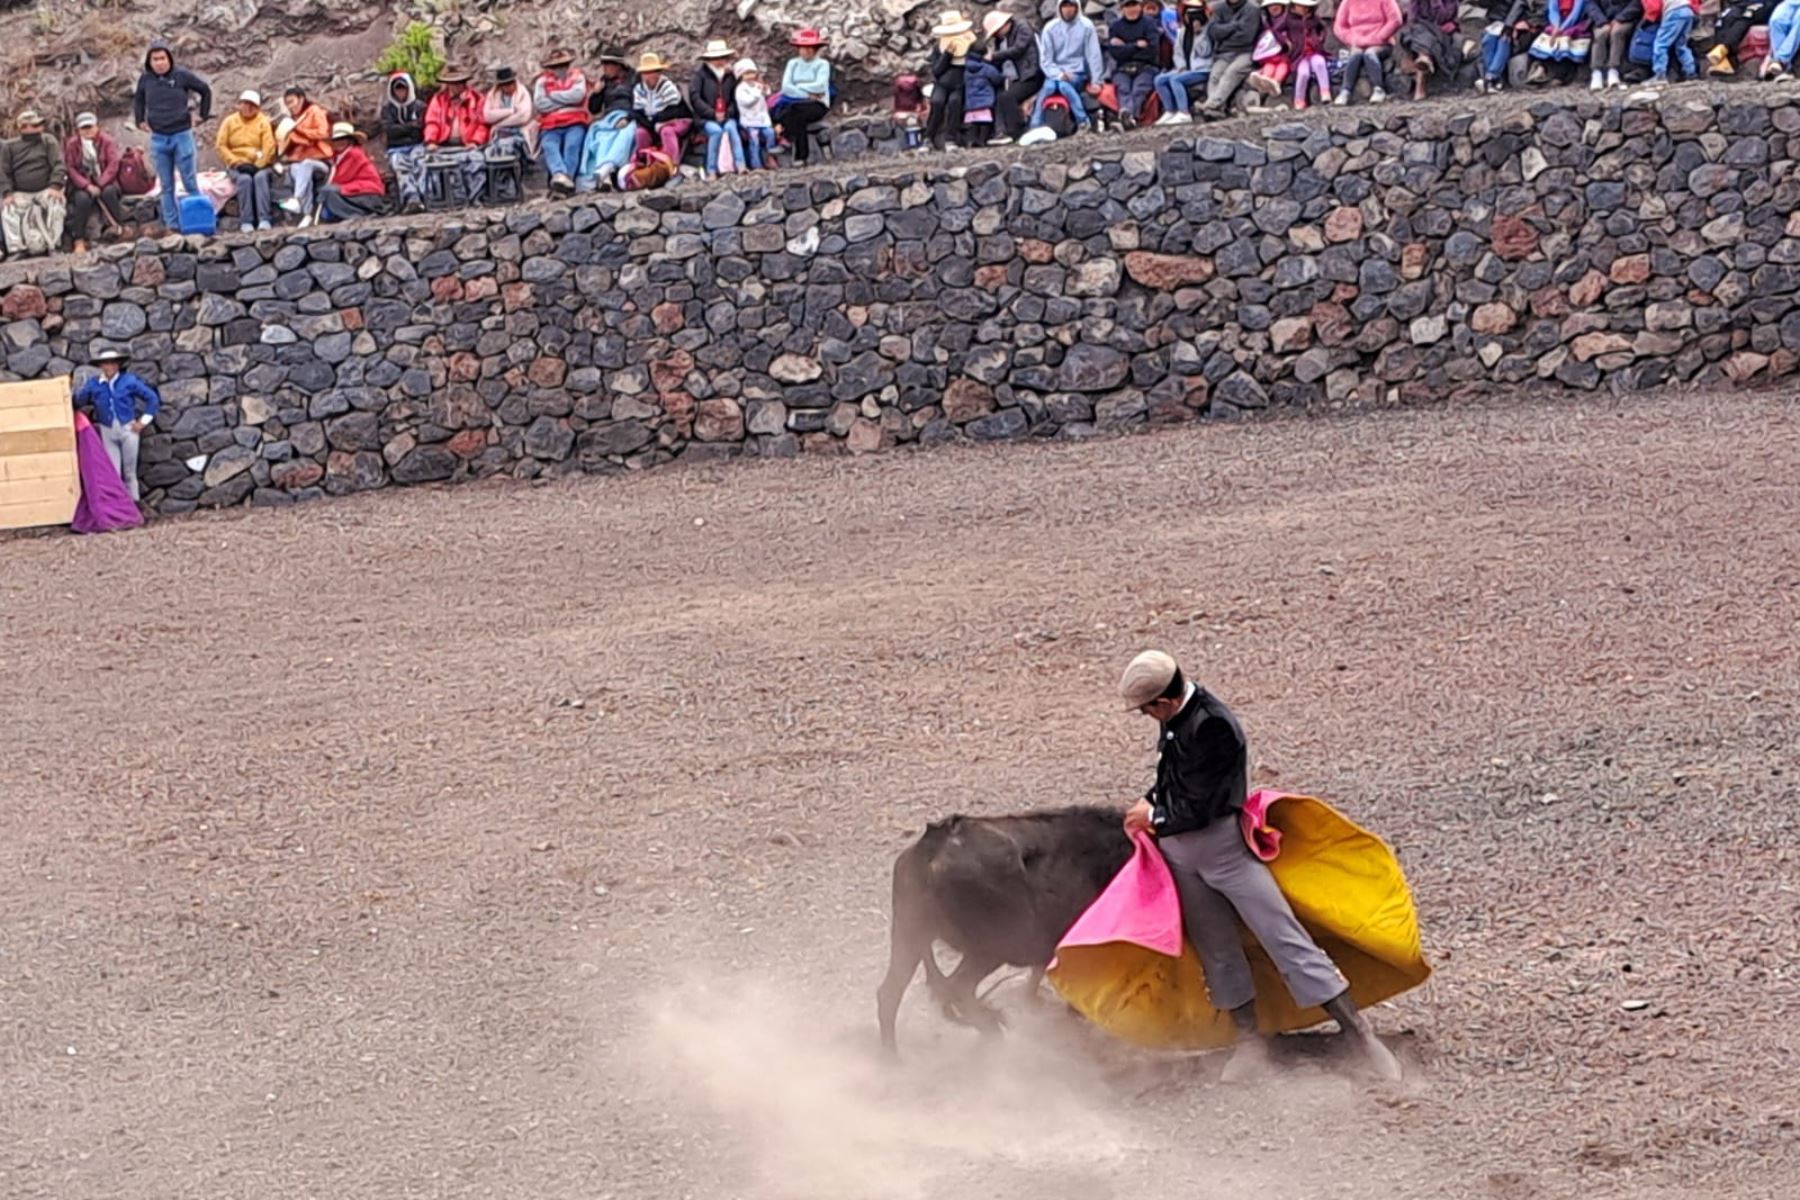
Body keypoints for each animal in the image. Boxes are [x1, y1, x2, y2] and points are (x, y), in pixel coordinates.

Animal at [878, 805, 1130, 1050]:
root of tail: (934, 846)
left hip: (909, 937)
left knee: (890, 995)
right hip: (989, 951)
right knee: (956, 989)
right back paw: (993, 1031)